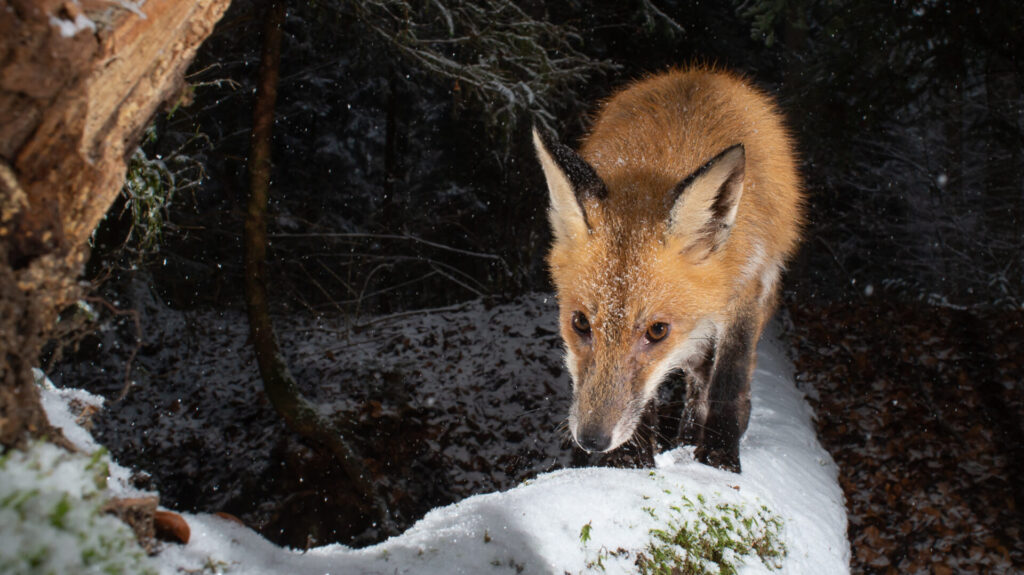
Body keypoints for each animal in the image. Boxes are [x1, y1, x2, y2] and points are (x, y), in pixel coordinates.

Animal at [532, 67, 803, 473]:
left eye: (657, 331)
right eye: (579, 323)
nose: (593, 440)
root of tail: (700, 71)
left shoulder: (748, 290)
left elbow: (729, 380)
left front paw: (719, 455)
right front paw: (630, 459)